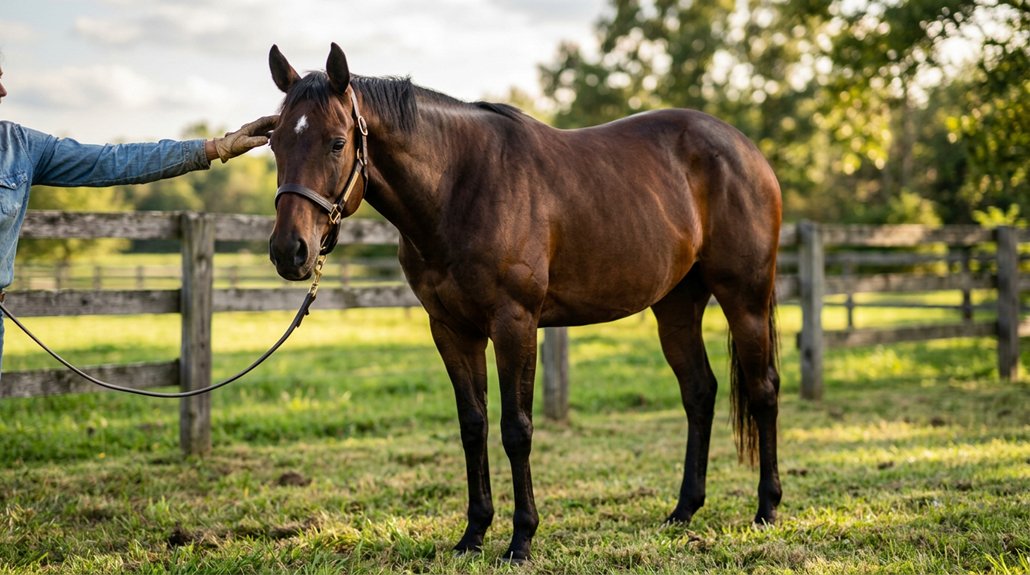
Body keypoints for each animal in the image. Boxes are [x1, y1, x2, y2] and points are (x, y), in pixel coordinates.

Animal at [266, 43, 782, 563]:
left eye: (337, 143)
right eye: (275, 144)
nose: (290, 251)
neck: (459, 186)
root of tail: (747, 150)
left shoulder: (514, 323)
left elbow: (517, 429)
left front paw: (521, 539)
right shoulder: (451, 329)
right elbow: (473, 425)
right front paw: (473, 534)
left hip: (745, 297)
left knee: (763, 389)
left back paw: (767, 508)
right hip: (677, 305)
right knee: (699, 392)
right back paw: (684, 510)